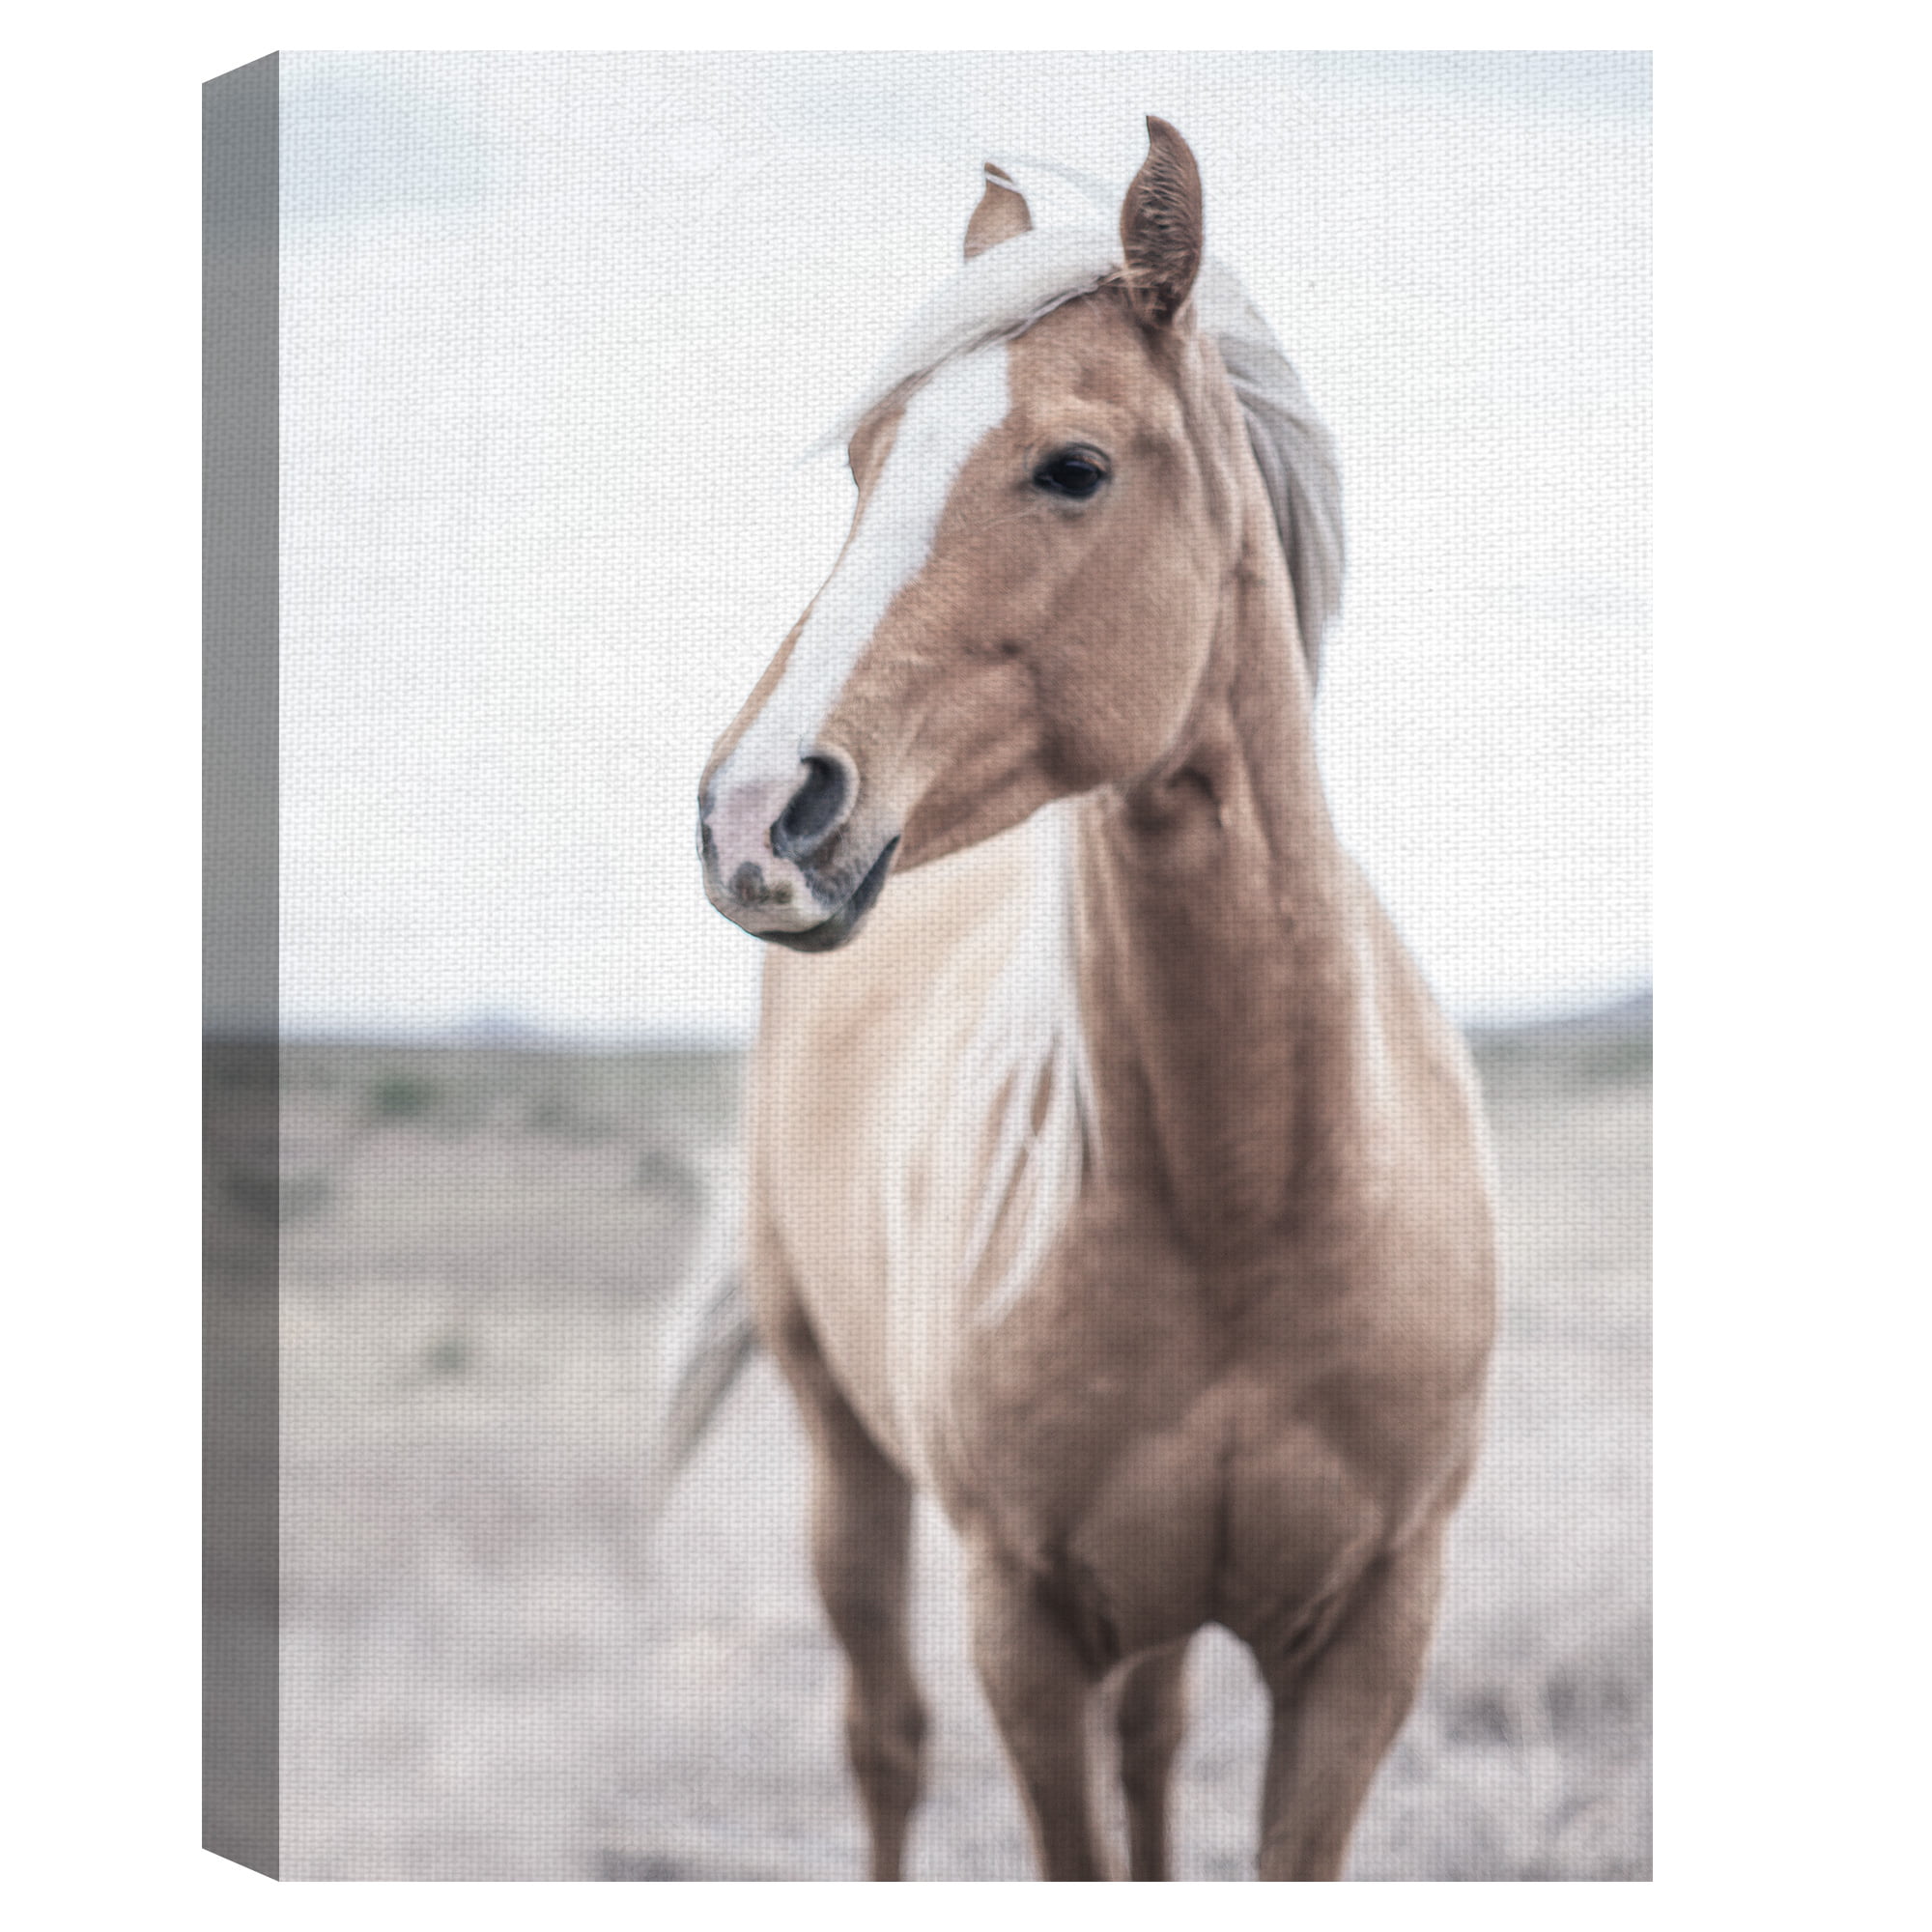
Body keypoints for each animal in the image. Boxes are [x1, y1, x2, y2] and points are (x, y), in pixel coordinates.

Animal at [681, 119, 1497, 1882]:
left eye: (1072, 467)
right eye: (866, 466)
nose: (754, 814)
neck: (1250, 1198)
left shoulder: (1369, 1639)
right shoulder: (1027, 1628)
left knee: (1153, 1742)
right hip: (847, 1463)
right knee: (886, 1742)